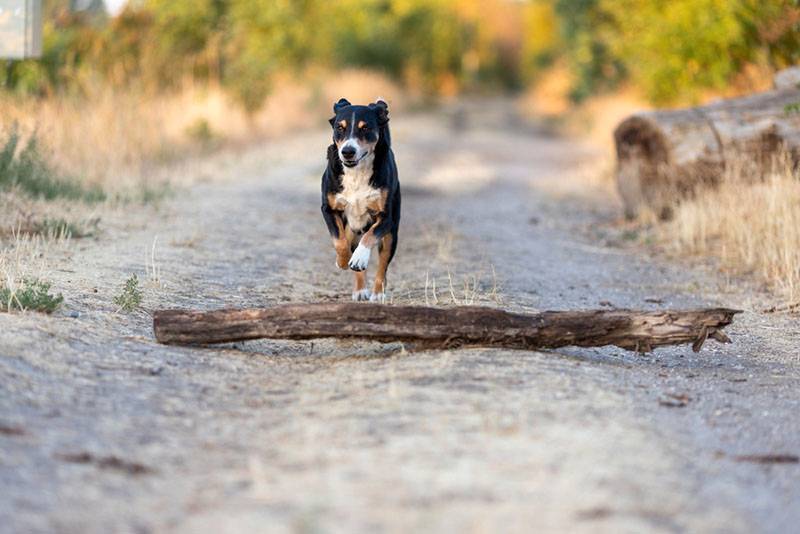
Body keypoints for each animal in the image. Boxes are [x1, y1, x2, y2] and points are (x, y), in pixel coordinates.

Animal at [318, 98, 400, 304]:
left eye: (365, 128)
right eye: (340, 127)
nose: (347, 151)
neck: (357, 173)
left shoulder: (386, 217)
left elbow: (370, 236)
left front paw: (360, 257)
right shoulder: (328, 209)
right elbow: (339, 241)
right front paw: (342, 261)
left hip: (391, 236)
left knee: (382, 264)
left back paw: (377, 293)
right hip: (352, 226)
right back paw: (360, 289)